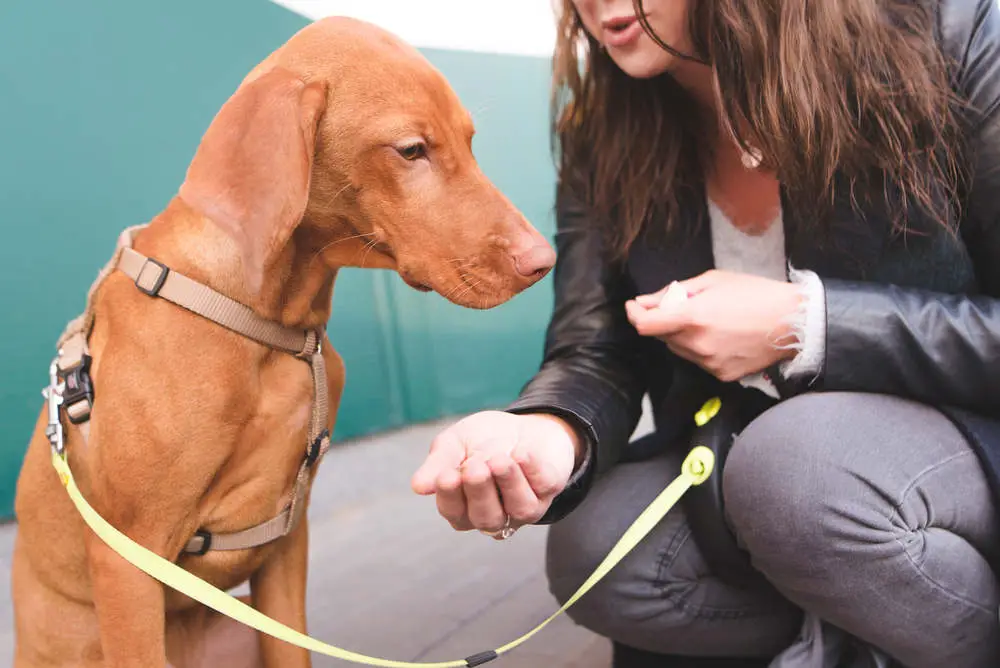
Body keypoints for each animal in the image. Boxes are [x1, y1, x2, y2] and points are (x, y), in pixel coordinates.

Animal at [9, 17, 556, 668]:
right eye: (411, 150)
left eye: (470, 141)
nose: (544, 261)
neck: (270, 321)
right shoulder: (127, 558)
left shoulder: (286, 544)